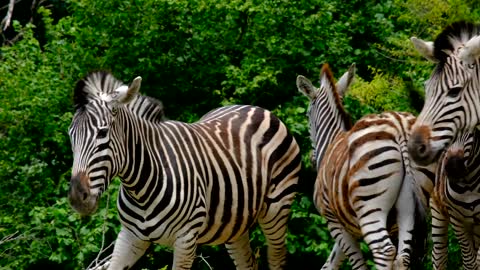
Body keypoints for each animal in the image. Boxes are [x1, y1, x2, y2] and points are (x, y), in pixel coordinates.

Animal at [68, 70, 300, 268]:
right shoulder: (130, 236)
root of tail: (255, 108)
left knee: (277, 258)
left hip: (277, 209)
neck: (141, 187)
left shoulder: (186, 240)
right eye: (70, 135)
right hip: (235, 223)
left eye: (102, 133)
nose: (77, 198)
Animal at [294, 64, 434, 268]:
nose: (312, 160)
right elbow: (329, 264)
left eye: (306, 115)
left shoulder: (334, 221)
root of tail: (398, 126)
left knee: (384, 251)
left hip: (370, 206)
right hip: (410, 208)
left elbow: (356, 263)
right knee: (402, 257)